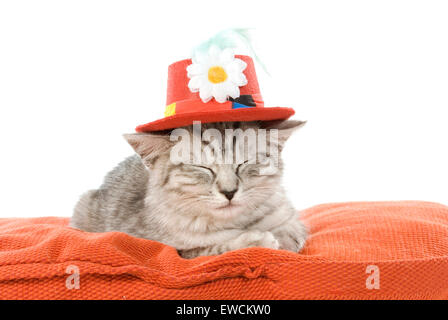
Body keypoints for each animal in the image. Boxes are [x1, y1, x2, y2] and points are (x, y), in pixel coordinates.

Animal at [70, 119, 308, 258]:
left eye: (244, 162)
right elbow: (214, 249)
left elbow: (293, 231)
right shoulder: (169, 249)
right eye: (202, 167)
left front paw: (282, 238)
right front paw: (257, 240)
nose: (229, 192)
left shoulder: (288, 214)